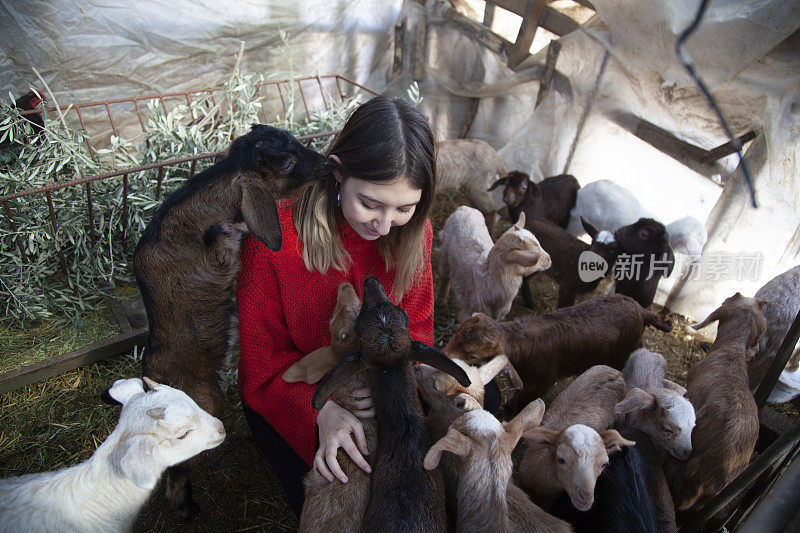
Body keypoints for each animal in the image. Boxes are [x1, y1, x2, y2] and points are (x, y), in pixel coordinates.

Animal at [134, 123, 328, 516]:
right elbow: (225, 235)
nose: (328, 165)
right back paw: (187, 508)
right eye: (287, 164)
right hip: (204, 401)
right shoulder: (216, 258)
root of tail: (151, 383)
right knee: (175, 467)